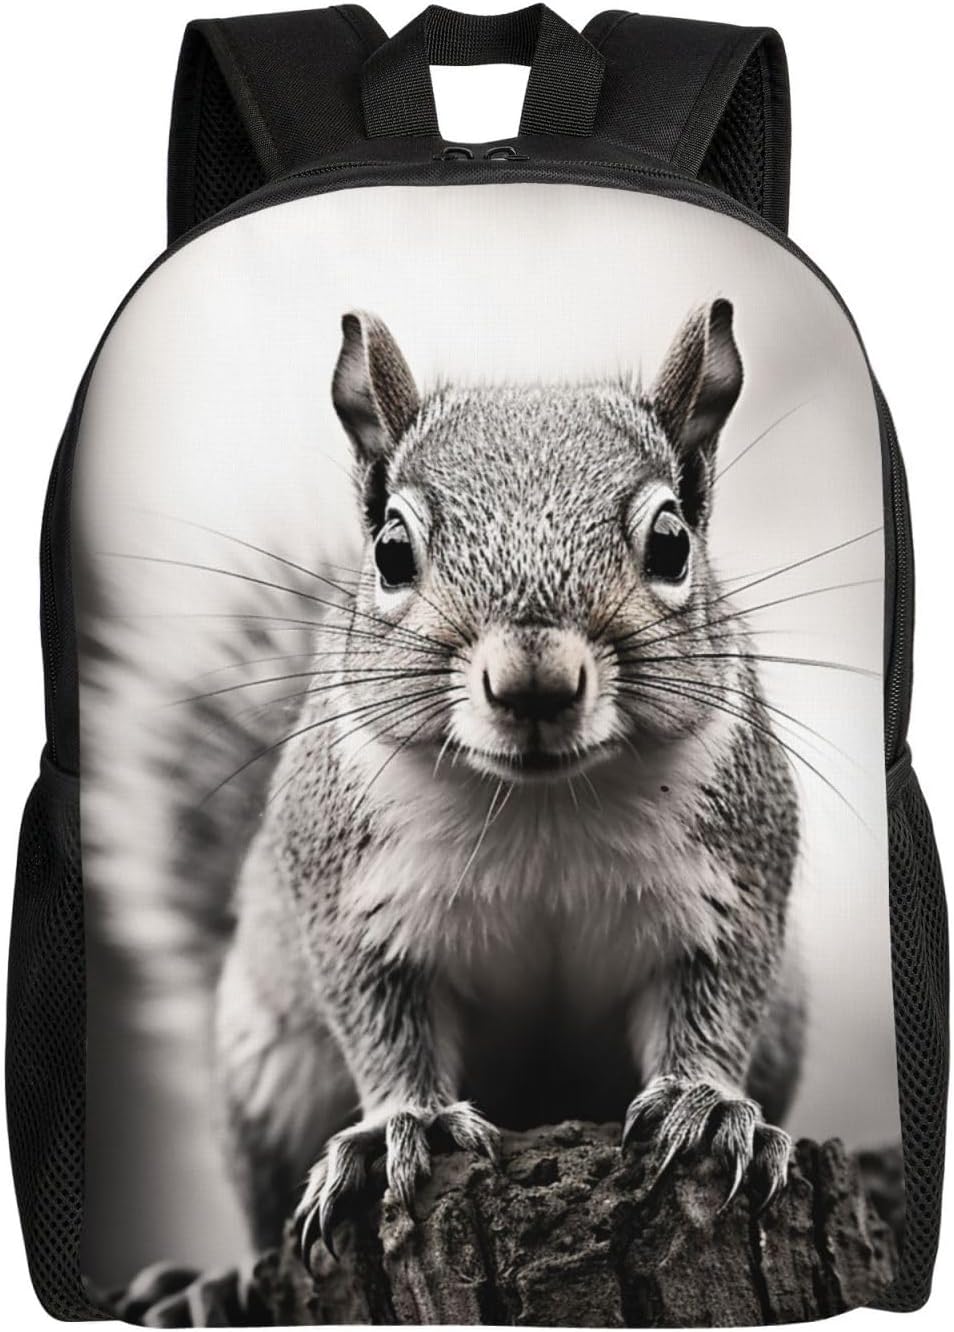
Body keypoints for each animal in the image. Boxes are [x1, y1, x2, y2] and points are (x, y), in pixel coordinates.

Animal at [198, 297, 804, 1258]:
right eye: (391, 550)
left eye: (672, 541)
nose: (534, 683)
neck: (539, 803)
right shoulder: (348, 901)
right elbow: (382, 1025)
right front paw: (401, 1127)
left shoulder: (733, 884)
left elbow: (719, 1001)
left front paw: (706, 1107)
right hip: (268, 1063)